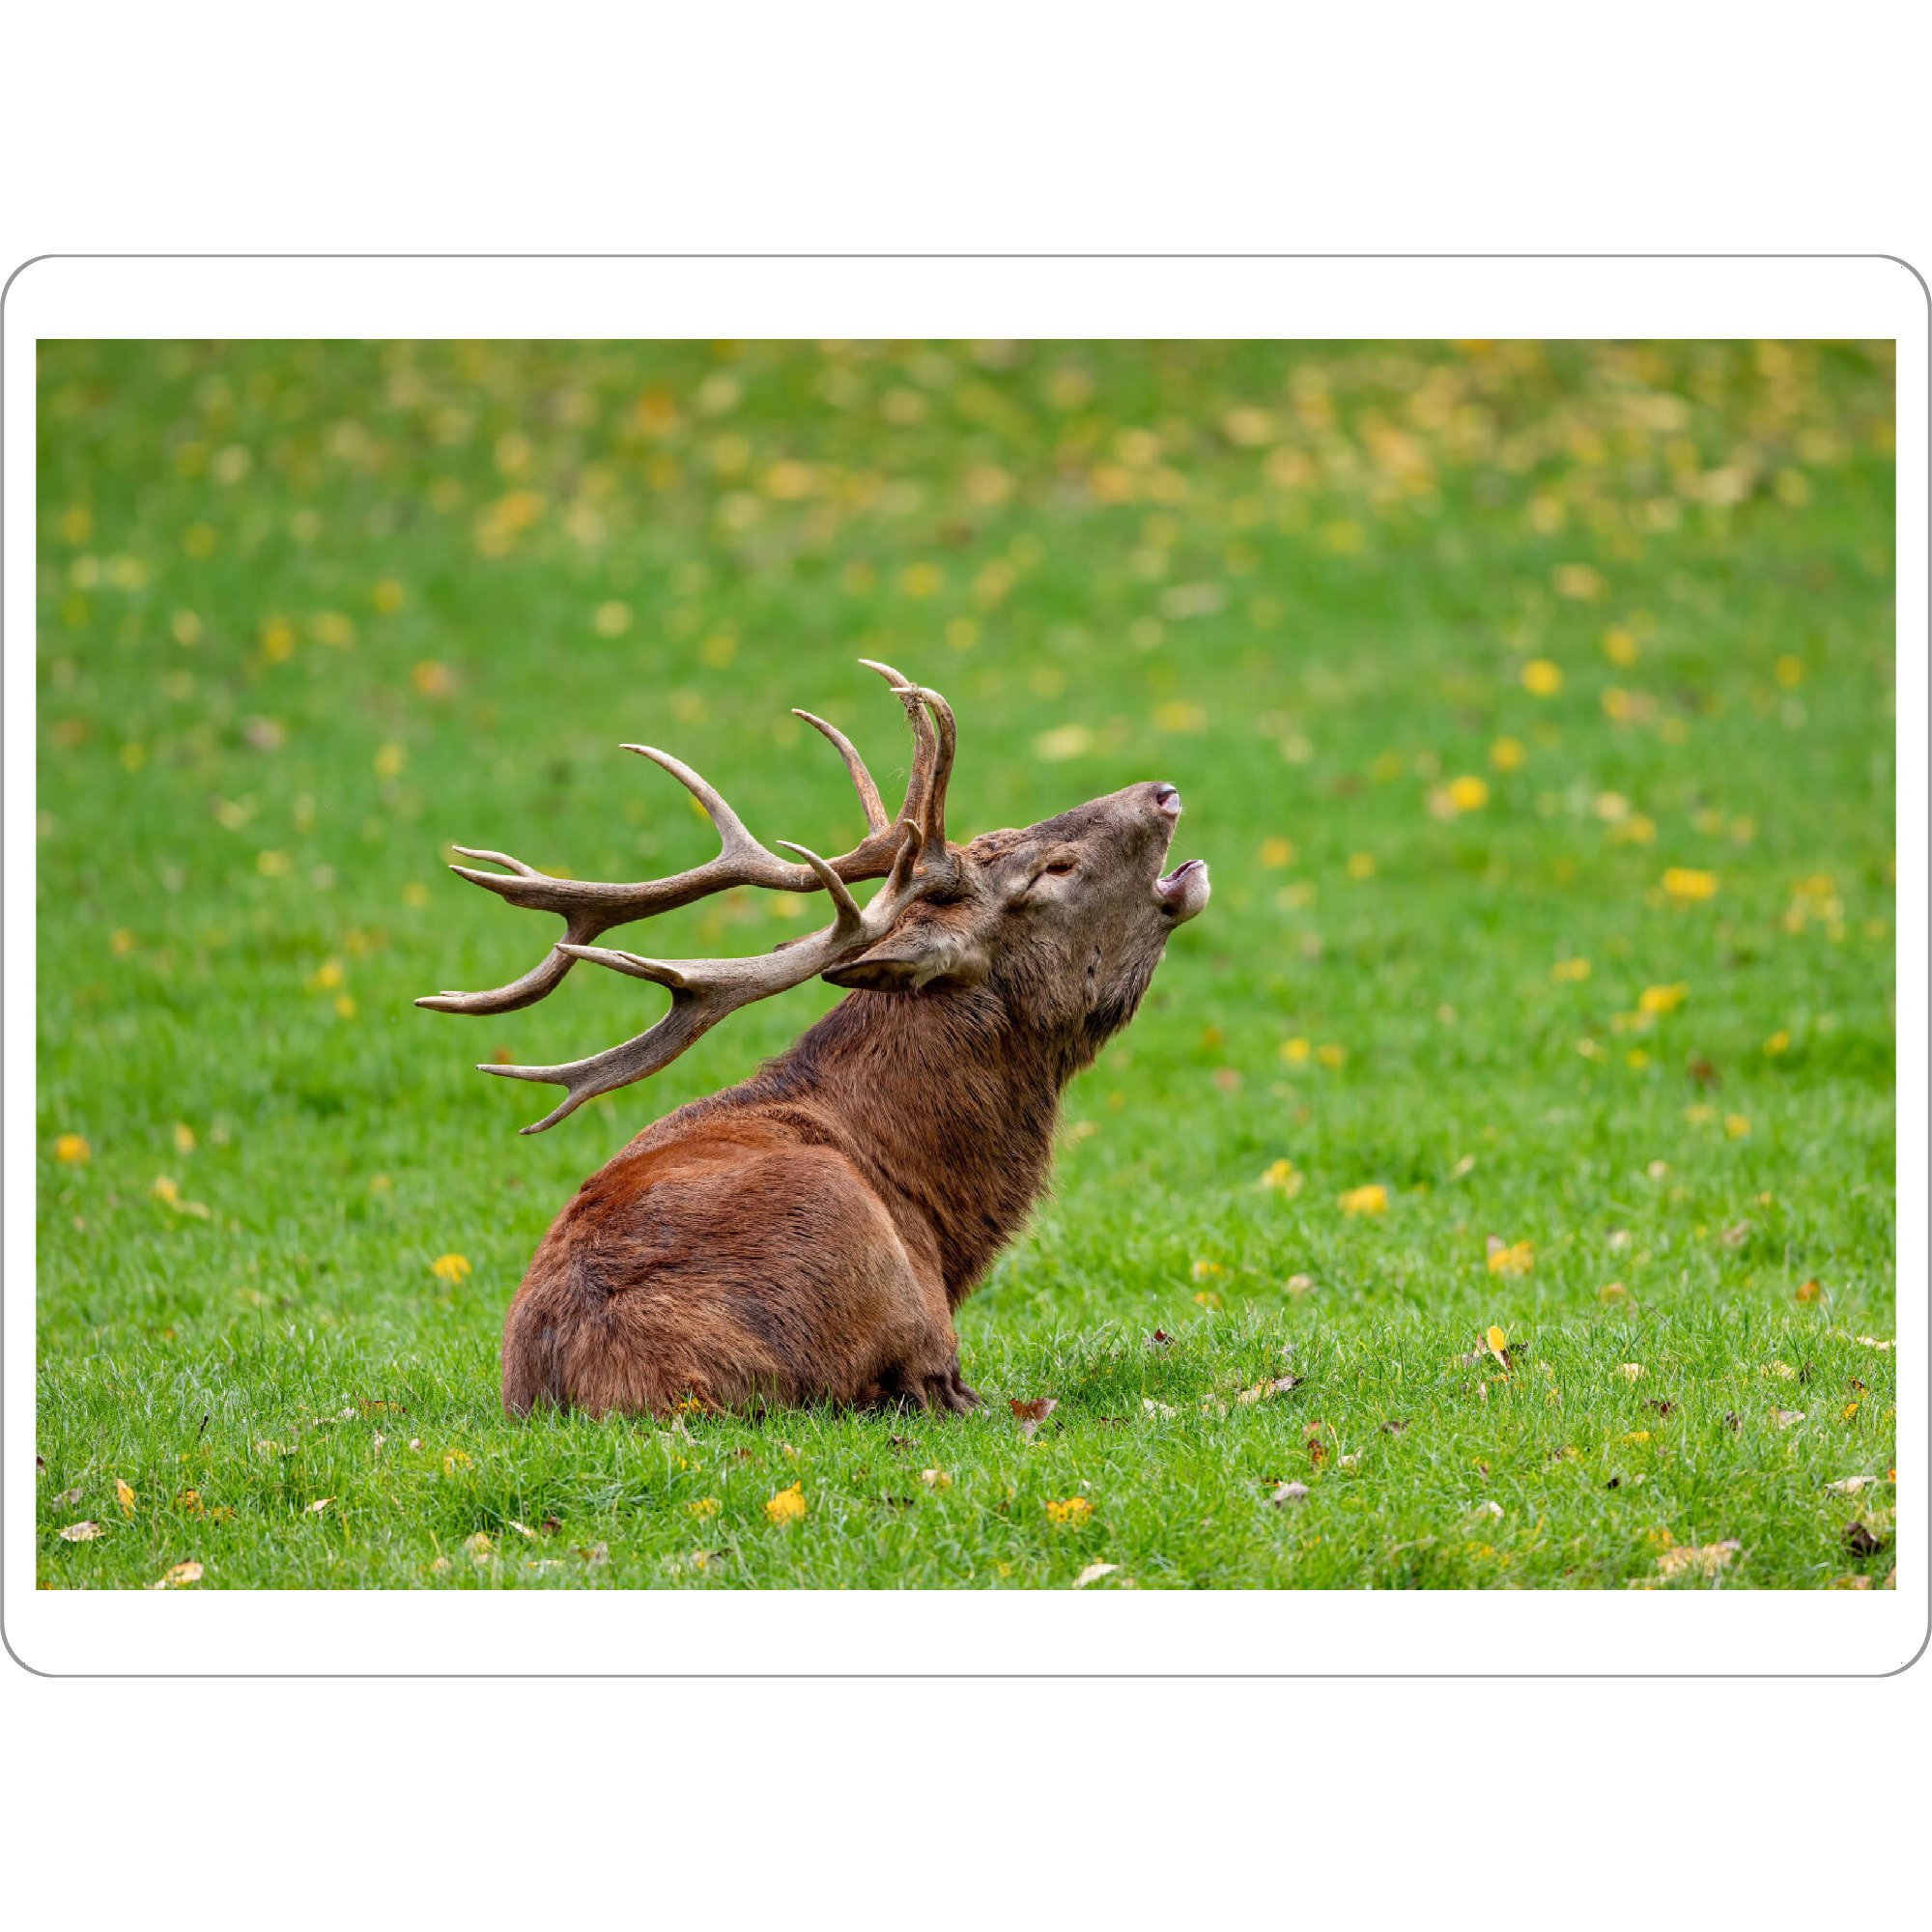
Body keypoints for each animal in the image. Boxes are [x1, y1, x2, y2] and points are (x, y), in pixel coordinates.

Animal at [419, 660, 1210, 1421]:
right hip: (840, 1238)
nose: (1164, 792)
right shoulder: (928, 1327)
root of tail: (619, 1391)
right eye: (1054, 869)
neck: (939, 1207)